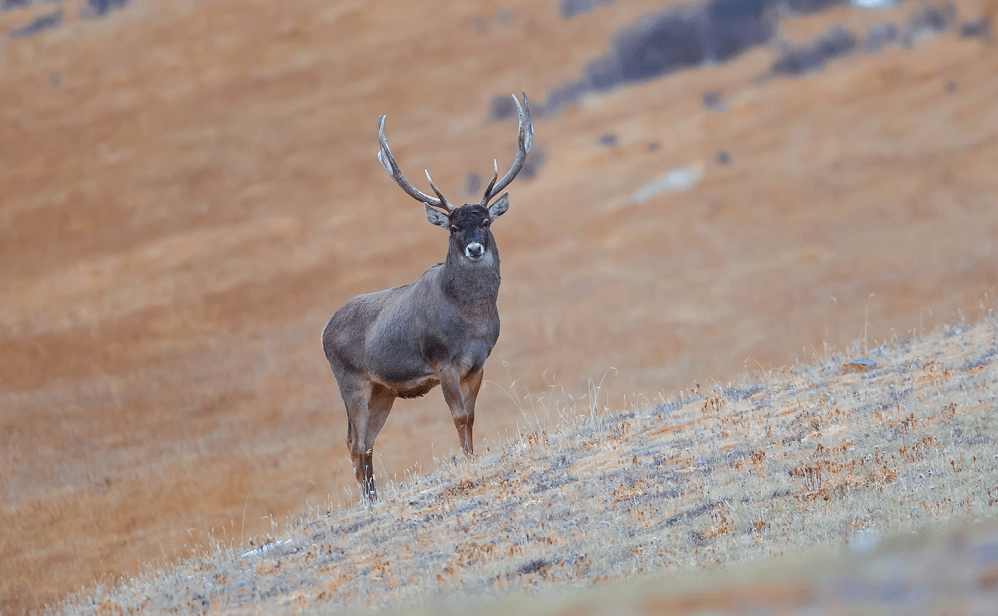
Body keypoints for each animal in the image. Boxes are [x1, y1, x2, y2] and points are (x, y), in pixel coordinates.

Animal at [324, 91, 536, 498]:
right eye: (453, 227)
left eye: (486, 221)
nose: (474, 248)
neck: (471, 322)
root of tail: (324, 332)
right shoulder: (443, 361)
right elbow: (458, 416)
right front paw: (467, 465)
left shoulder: (478, 362)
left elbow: (471, 416)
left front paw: (470, 458)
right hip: (351, 381)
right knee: (355, 443)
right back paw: (368, 501)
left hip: (382, 390)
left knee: (364, 442)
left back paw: (372, 496)